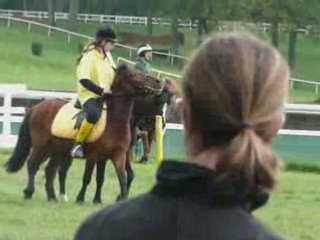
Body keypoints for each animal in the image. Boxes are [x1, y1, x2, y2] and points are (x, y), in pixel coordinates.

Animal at [5, 64, 162, 202]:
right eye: (132, 75)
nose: (157, 81)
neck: (114, 123)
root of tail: (36, 107)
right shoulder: (94, 156)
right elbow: (87, 177)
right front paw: (80, 198)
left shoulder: (117, 156)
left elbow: (120, 177)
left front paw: (118, 198)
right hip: (41, 145)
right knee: (33, 164)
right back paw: (29, 192)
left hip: (57, 150)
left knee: (50, 170)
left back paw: (52, 197)